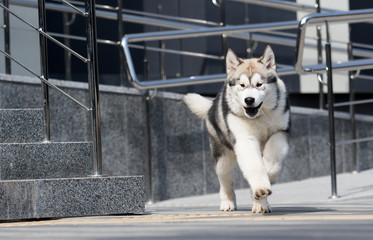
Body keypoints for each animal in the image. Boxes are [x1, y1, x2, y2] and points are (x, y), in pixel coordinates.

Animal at [183, 46, 290, 213]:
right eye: (242, 85)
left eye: (259, 84)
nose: (249, 100)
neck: (259, 117)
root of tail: (211, 106)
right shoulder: (245, 140)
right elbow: (254, 165)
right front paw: (261, 186)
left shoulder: (281, 131)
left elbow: (273, 153)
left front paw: (269, 173)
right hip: (222, 157)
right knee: (225, 179)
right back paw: (228, 202)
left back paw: (260, 204)